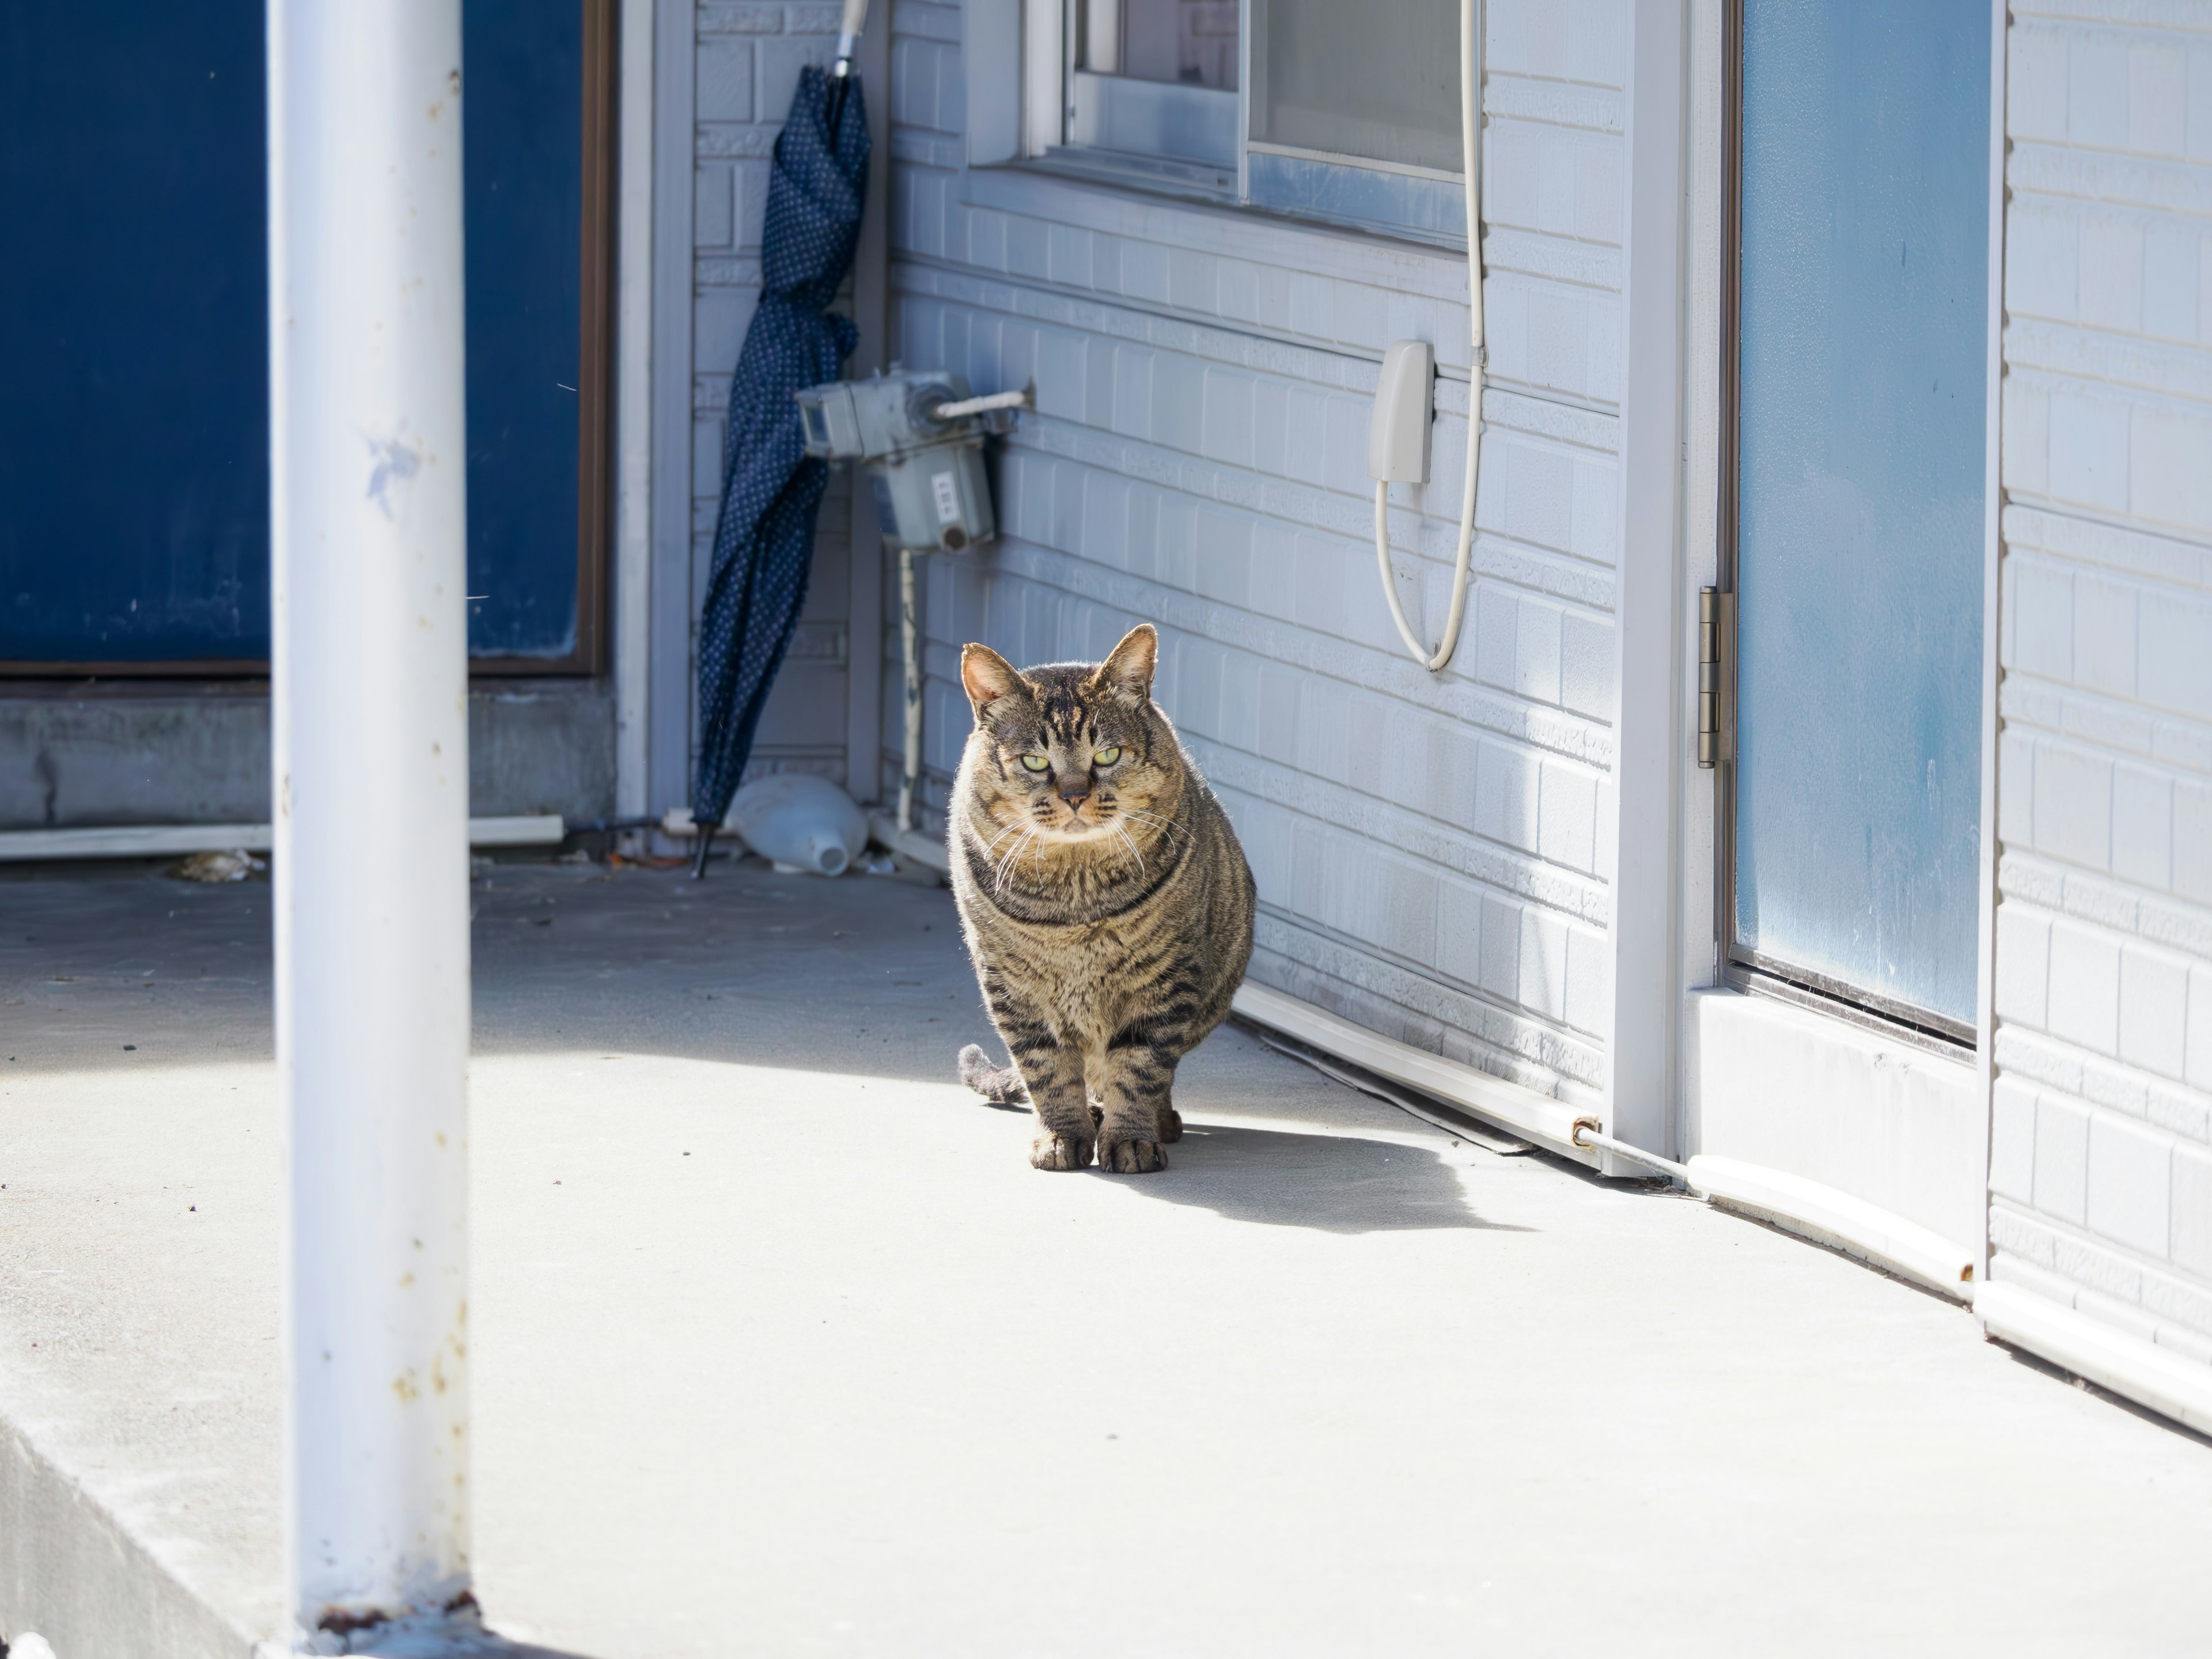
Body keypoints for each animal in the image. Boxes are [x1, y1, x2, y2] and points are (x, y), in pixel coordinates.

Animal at [951, 628, 1265, 1185]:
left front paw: (1131, 1139)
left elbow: (1139, 1068)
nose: (1075, 795)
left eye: (1108, 755)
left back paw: (1159, 1122)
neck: (1075, 904)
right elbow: (1047, 1071)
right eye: (1035, 761)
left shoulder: (1163, 981)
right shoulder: (1012, 988)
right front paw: (1060, 1136)